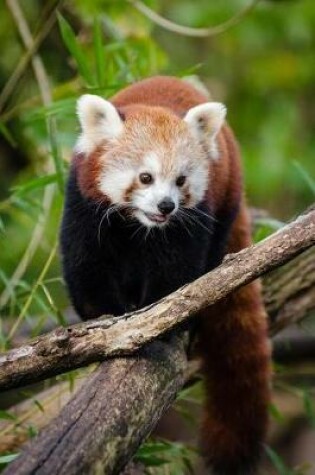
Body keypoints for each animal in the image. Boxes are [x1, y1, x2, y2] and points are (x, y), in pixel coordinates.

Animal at [59, 76, 272, 474]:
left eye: (181, 180)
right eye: (145, 177)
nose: (166, 205)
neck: (139, 224)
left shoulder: (193, 217)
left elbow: (176, 273)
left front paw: (160, 321)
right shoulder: (84, 202)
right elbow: (86, 263)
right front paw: (107, 317)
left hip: (226, 201)